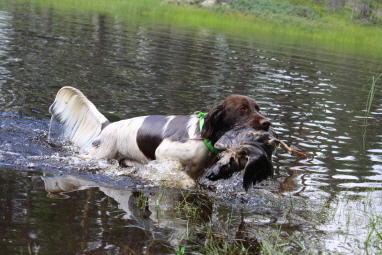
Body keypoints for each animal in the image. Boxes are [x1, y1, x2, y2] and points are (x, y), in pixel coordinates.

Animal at [48, 86, 272, 184]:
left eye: (257, 107)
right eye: (243, 109)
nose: (267, 123)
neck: (204, 135)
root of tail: (107, 125)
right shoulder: (165, 155)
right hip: (99, 156)